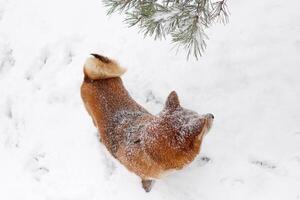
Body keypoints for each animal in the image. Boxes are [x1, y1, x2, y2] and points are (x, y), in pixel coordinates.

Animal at [81, 53, 214, 192]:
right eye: (204, 125)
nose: (212, 115)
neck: (145, 146)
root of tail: (90, 78)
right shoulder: (143, 174)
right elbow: (146, 180)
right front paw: (147, 187)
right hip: (91, 115)